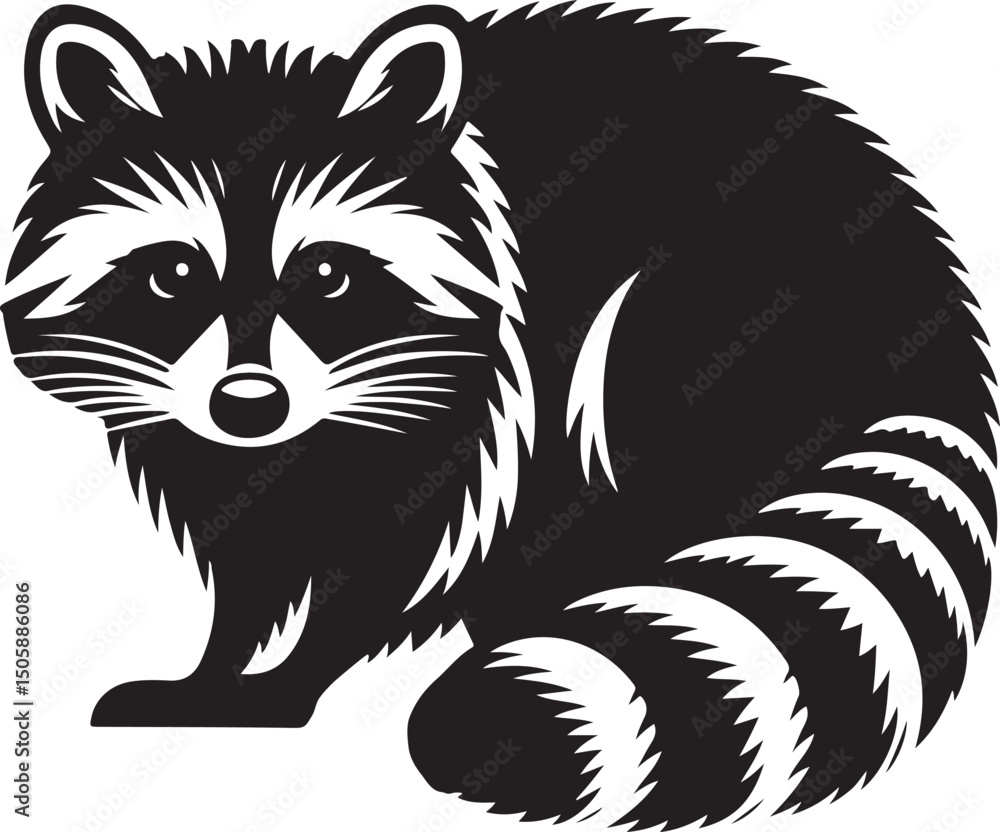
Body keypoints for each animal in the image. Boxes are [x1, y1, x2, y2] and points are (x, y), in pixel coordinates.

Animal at [2, 3, 995, 828]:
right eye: (174, 273)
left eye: (324, 273)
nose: (250, 403)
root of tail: (929, 301)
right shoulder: (220, 443)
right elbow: (254, 550)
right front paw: (217, 665)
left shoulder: (482, 397)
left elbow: (395, 555)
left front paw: (296, 673)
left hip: (719, 319)